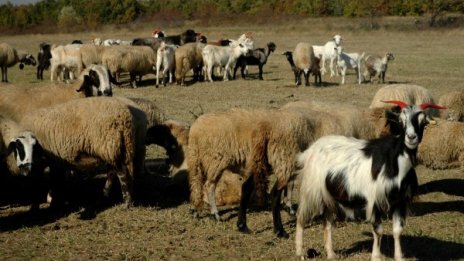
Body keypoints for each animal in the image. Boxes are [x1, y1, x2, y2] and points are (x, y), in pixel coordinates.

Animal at [298, 100, 446, 260]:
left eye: (423, 121)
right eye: (401, 120)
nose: (411, 137)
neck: (395, 162)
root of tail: (311, 149)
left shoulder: (400, 201)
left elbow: (397, 230)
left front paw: (399, 257)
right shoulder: (375, 199)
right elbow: (378, 230)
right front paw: (375, 256)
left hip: (329, 196)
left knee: (327, 222)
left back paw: (331, 254)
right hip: (311, 190)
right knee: (301, 217)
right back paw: (300, 252)